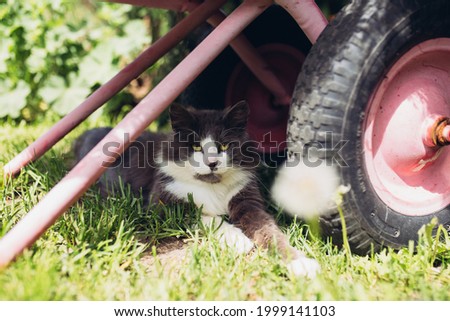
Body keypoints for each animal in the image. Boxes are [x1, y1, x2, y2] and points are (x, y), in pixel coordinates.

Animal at [75, 101, 324, 276]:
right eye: (196, 146)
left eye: (223, 145)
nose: (212, 163)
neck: (212, 187)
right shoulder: (161, 206)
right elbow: (205, 216)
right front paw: (238, 239)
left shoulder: (248, 200)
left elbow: (269, 232)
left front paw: (300, 264)